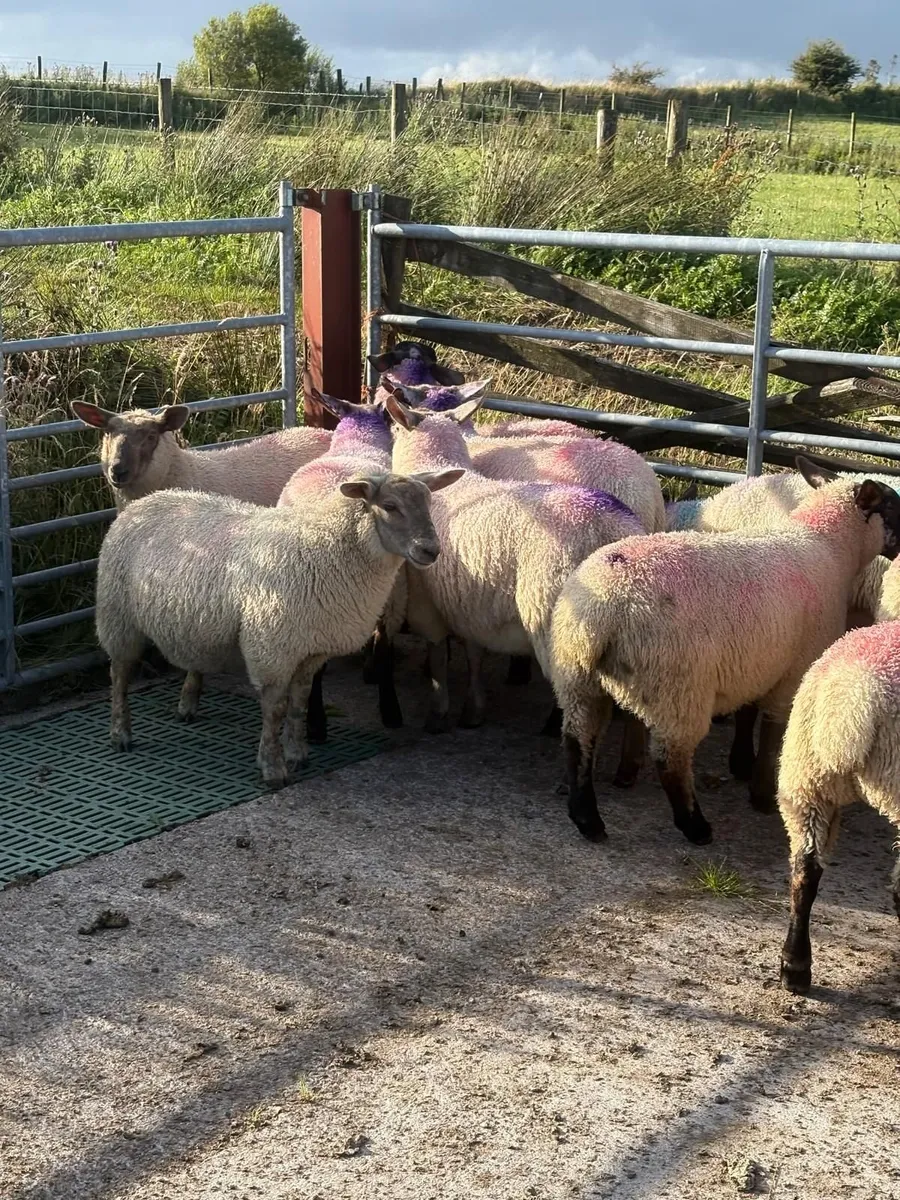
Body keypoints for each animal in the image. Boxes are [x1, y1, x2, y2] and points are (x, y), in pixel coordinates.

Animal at [95, 468, 463, 787]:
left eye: (428, 501)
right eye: (390, 506)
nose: (430, 550)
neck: (328, 548)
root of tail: (146, 500)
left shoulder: (313, 648)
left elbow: (299, 703)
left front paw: (297, 753)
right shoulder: (271, 646)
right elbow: (276, 710)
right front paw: (272, 768)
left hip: (192, 623)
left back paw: (186, 705)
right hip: (117, 615)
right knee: (119, 674)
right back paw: (120, 734)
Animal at [385, 392, 646, 774]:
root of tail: (610, 529)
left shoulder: (426, 601)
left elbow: (437, 658)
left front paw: (438, 713)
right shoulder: (471, 601)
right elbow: (474, 654)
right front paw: (473, 710)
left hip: (557, 619)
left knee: (582, 703)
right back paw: (629, 767)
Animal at [549, 457, 900, 844]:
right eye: (895, 507)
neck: (826, 546)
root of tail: (601, 613)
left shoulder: (758, 660)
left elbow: (748, 713)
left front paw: (743, 764)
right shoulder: (791, 670)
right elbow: (773, 731)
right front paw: (761, 794)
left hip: (577, 678)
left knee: (578, 739)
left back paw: (587, 819)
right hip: (676, 685)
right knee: (669, 757)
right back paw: (695, 826)